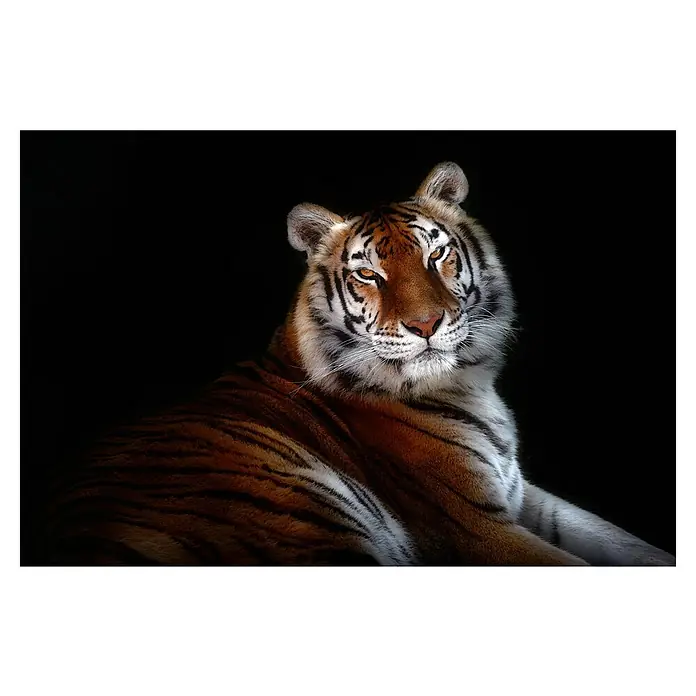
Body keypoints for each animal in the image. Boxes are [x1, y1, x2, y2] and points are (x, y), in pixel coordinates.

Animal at [42, 162, 675, 566]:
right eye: (369, 273)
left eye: (437, 254)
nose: (425, 325)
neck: (469, 383)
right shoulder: (476, 528)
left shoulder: (522, 494)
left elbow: (623, 542)